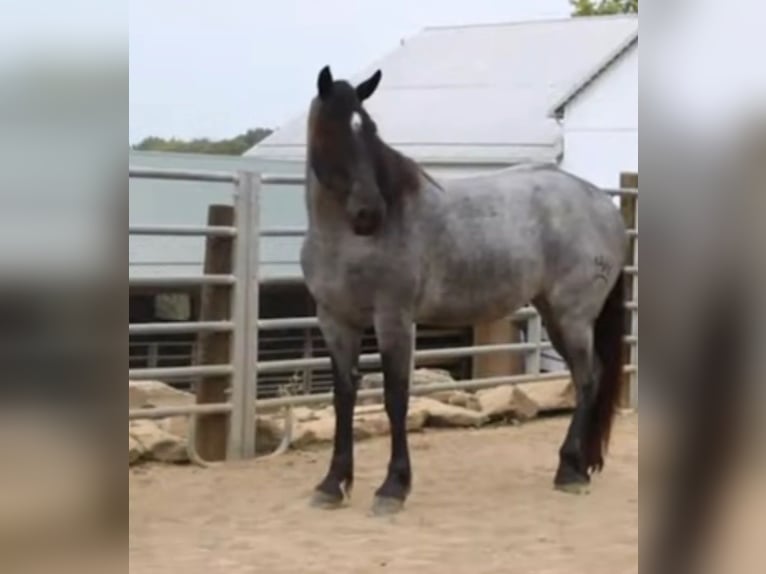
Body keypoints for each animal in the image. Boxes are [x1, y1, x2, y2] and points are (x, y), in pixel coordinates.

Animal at [300, 65, 628, 515]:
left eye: (368, 130)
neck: (348, 241)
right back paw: (577, 467)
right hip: (553, 313)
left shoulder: (394, 320)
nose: (369, 212)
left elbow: (395, 397)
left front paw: (393, 487)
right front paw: (333, 484)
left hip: (572, 318)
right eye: (332, 130)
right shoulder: (334, 321)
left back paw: (569, 471)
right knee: (587, 378)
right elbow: (344, 398)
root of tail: (605, 206)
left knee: (587, 378)